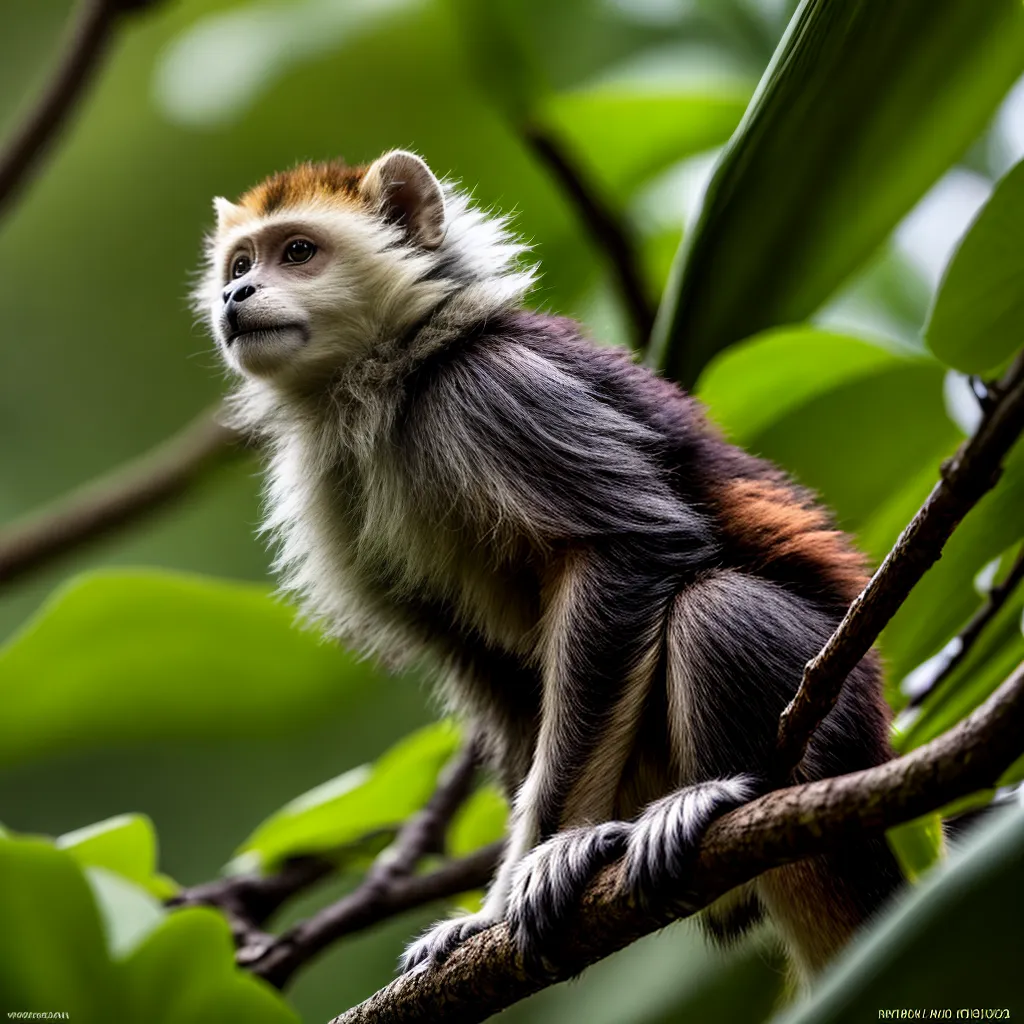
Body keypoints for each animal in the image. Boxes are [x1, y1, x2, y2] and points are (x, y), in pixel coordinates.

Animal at [197, 149, 903, 980]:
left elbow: (628, 549)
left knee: (715, 606)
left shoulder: (495, 391)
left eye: (298, 252)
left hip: (837, 726)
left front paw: (523, 883)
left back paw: (715, 800)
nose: (237, 294)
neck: (396, 375)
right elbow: (479, 662)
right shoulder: (334, 497)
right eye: (240, 264)